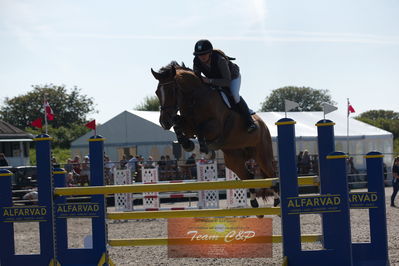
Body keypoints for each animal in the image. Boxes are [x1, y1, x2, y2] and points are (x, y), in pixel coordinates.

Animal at [152, 61, 280, 209]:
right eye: (157, 92)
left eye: (172, 90)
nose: (164, 122)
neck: (194, 98)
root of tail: (263, 124)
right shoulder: (188, 126)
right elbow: (179, 127)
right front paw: (188, 144)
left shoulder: (215, 127)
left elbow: (201, 129)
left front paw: (206, 151)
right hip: (233, 160)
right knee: (248, 175)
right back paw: (254, 202)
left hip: (262, 155)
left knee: (271, 174)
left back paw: (277, 200)